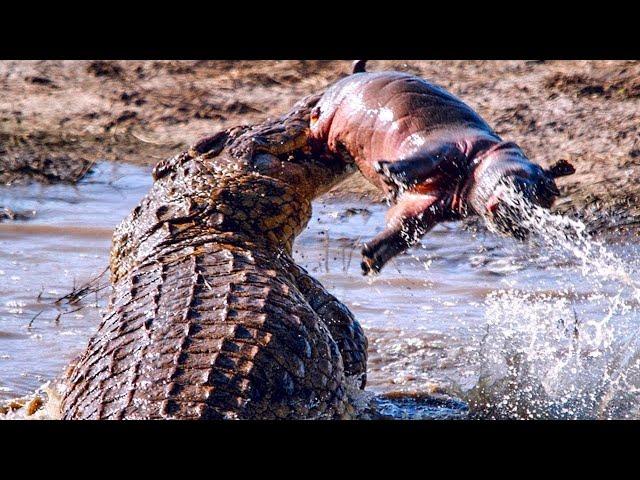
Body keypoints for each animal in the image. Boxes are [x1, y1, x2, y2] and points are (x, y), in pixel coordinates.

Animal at [310, 61, 576, 274]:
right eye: (542, 185)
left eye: (549, 197)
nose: (524, 226)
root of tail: (360, 72)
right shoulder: (454, 146)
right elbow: (427, 158)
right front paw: (388, 173)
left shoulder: (435, 204)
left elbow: (404, 227)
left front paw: (370, 259)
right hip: (329, 114)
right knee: (319, 129)